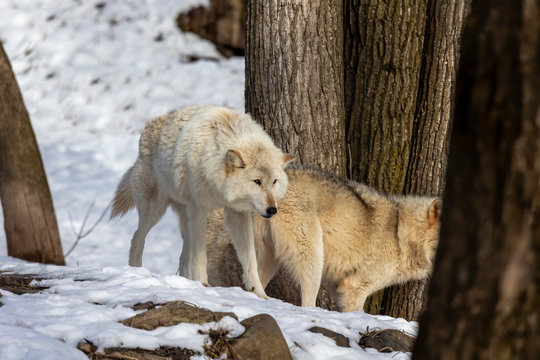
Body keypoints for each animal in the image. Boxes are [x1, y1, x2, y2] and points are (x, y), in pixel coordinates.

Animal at [111, 105, 294, 298]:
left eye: (274, 182)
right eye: (257, 181)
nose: (272, 210)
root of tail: (147, 125)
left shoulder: (238, 213)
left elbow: (250, 260)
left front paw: (259, 294)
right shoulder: (199, 208)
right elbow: (200, 256)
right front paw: (203, 284)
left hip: (184, 218)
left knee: (183, 256)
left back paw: (184, 281)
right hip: (155, 210)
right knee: (137, 238)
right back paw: (136, 272)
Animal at [205, 165, 440, 310]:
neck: (400, 232)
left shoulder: (340, 289)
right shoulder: (354, 287)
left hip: (269, 259)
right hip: (313, 260)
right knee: (307, 302)